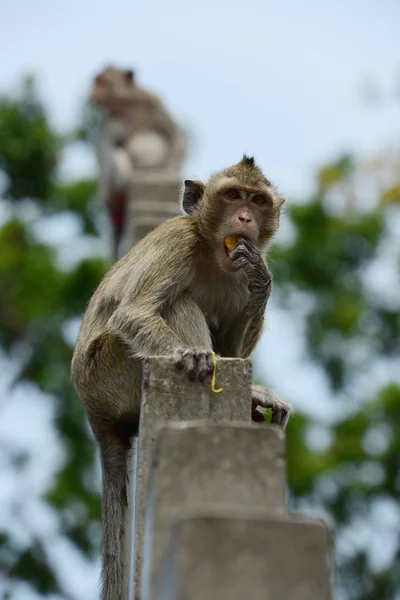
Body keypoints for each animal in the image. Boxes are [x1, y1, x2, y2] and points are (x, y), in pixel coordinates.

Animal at [71, 156, 290, 600]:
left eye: (257, 201)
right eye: (232, 195)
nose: (244, 217)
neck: (210, 251)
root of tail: (92, 409)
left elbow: (234, 347)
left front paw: (262, 279)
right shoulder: (179, 243)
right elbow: (134, 312)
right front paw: (194, 357)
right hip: (110, 371)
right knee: (177, 303)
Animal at [90, 67, 185, 262]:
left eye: (103, 82)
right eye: (96, 81)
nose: (93, 93)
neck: (126, 106)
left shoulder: (153, 102)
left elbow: (173, 136)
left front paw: (170, 169)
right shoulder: (107, 123)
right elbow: (103, 153)